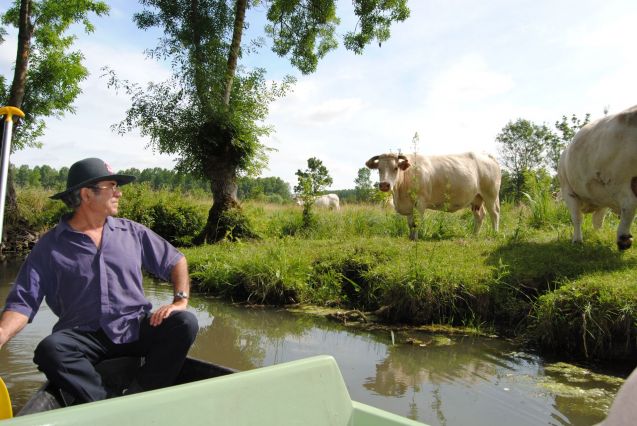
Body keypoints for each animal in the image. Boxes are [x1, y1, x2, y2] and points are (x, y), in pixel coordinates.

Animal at [366, 152, 500, 240]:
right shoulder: (409, 206)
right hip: (476, 198)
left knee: (494, 214)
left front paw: (416, 239)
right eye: (379, 169)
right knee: (480, 216)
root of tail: (488, 156)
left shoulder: (420, 202)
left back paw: (495, 234)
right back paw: (474, 235)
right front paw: (410, 237)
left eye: (395, 168)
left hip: (491, 195)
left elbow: (416, 222)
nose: (384, 185)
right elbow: (410, 223)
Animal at [556, 104, 636, 250]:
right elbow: (598, 221)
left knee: (629, 204)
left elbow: (577, 218)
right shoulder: (602, 199)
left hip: (617, 180)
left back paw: (623, 239)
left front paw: (577, 240)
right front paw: (598, 235)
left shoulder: (568, 191)